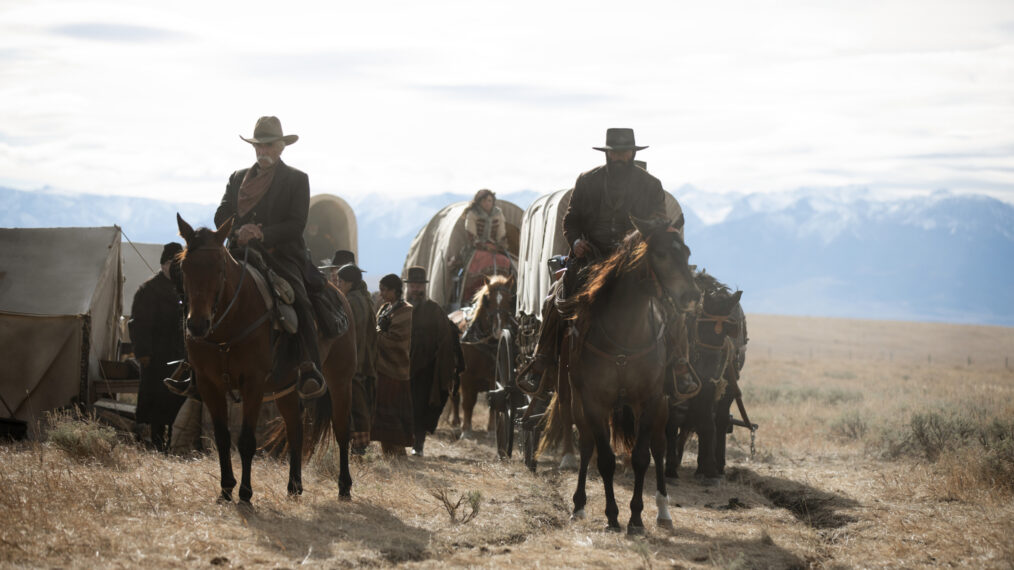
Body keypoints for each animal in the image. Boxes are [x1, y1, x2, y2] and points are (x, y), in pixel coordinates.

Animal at [177, 214, 356, 501]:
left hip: (340, 379)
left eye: (219, 268)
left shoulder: (254, 383)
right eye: (184, 268)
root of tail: (339, 294)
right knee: (295, 428)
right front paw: (225, 489)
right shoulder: (209, 385)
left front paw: (245, 493)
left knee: (341, 428)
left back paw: (344, 486)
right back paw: (294, 486)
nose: (196, 325)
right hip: (286, 387)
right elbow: (222, 437)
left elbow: (247, 440)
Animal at [450, 273, 515, 436]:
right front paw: (466, 429)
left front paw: (491, 429)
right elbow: (467, 402)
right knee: (454, 397)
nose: (499, 330)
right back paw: (455, 421)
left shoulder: (495, 375)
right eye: (487, 299)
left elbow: (494, 400)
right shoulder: (466, 376)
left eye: (510, 300)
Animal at [543, 214, 701, 531]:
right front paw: (612, 516)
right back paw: (579, 505)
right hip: (577, 400)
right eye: (661, 253)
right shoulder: (593, 401)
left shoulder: (650, 399)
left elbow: (641, 457)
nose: (692, 296)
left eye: (687, 252)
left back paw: (664, 511)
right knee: (587, 444)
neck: (625, 336)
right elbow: (604, 458)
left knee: (659, 446)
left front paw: (637, 518)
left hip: (661, 405)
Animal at [665, 271, 746, 482]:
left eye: (727, 331)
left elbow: (707, 422)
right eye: (700, 326)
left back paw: (718, 464)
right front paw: (670, 467)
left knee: (720, 420)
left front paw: (707, 468)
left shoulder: (710, 387)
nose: (708, 369)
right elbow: (672, 421)